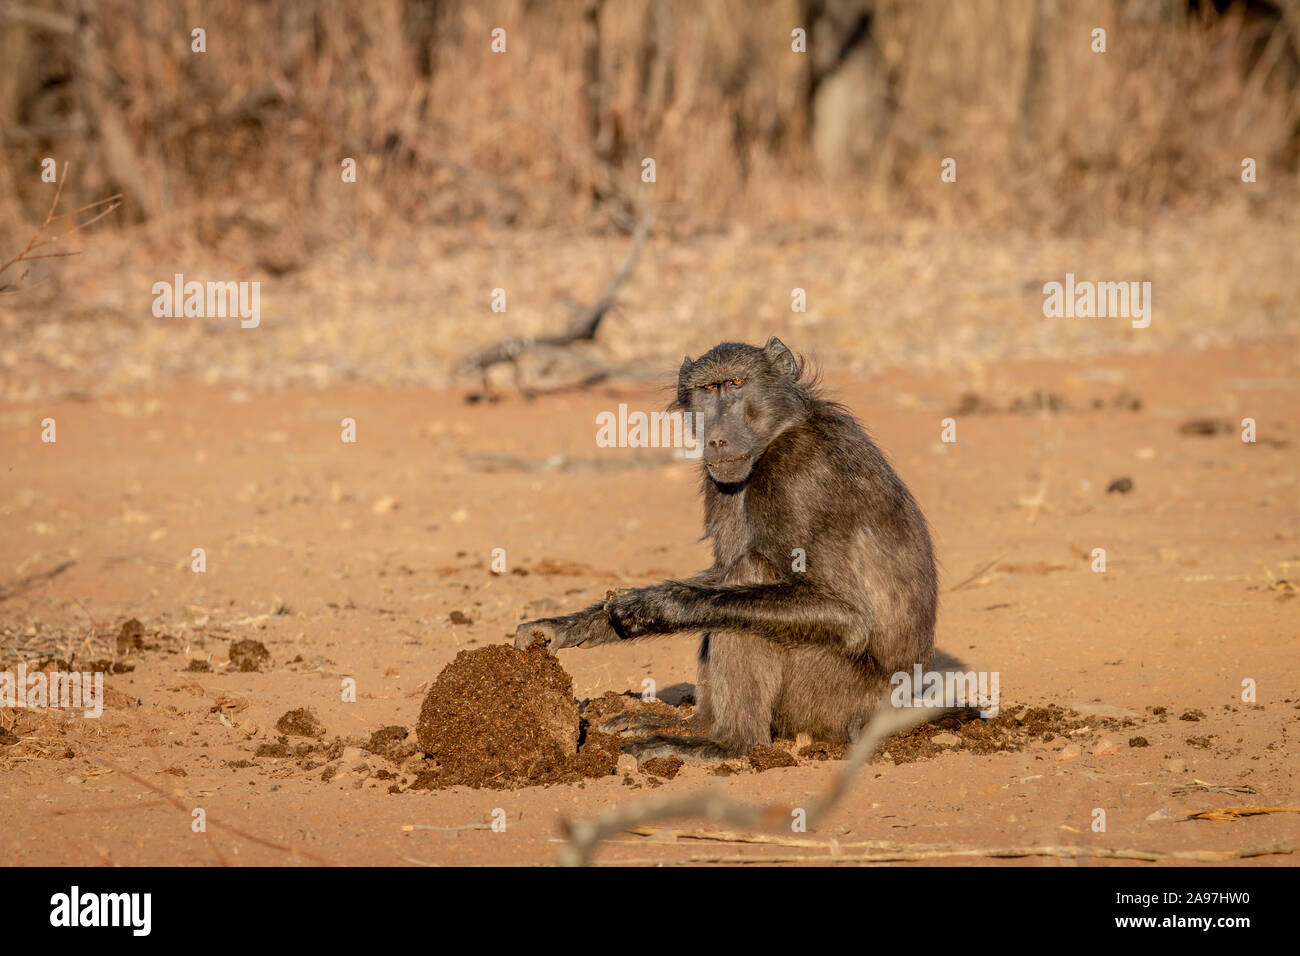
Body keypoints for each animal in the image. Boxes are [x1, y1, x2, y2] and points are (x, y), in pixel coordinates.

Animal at [514, 337, 937, 763]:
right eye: (707, 389)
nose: (716, 438)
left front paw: (658, 606)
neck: (781, 431)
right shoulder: (723, 480)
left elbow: (848, 615)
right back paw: (689, 726)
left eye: (736, 383)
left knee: (751, 576)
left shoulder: (799, 479)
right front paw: (566, 626)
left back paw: (725, 744)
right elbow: (720, 570)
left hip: (829, 697)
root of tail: (891, 710)